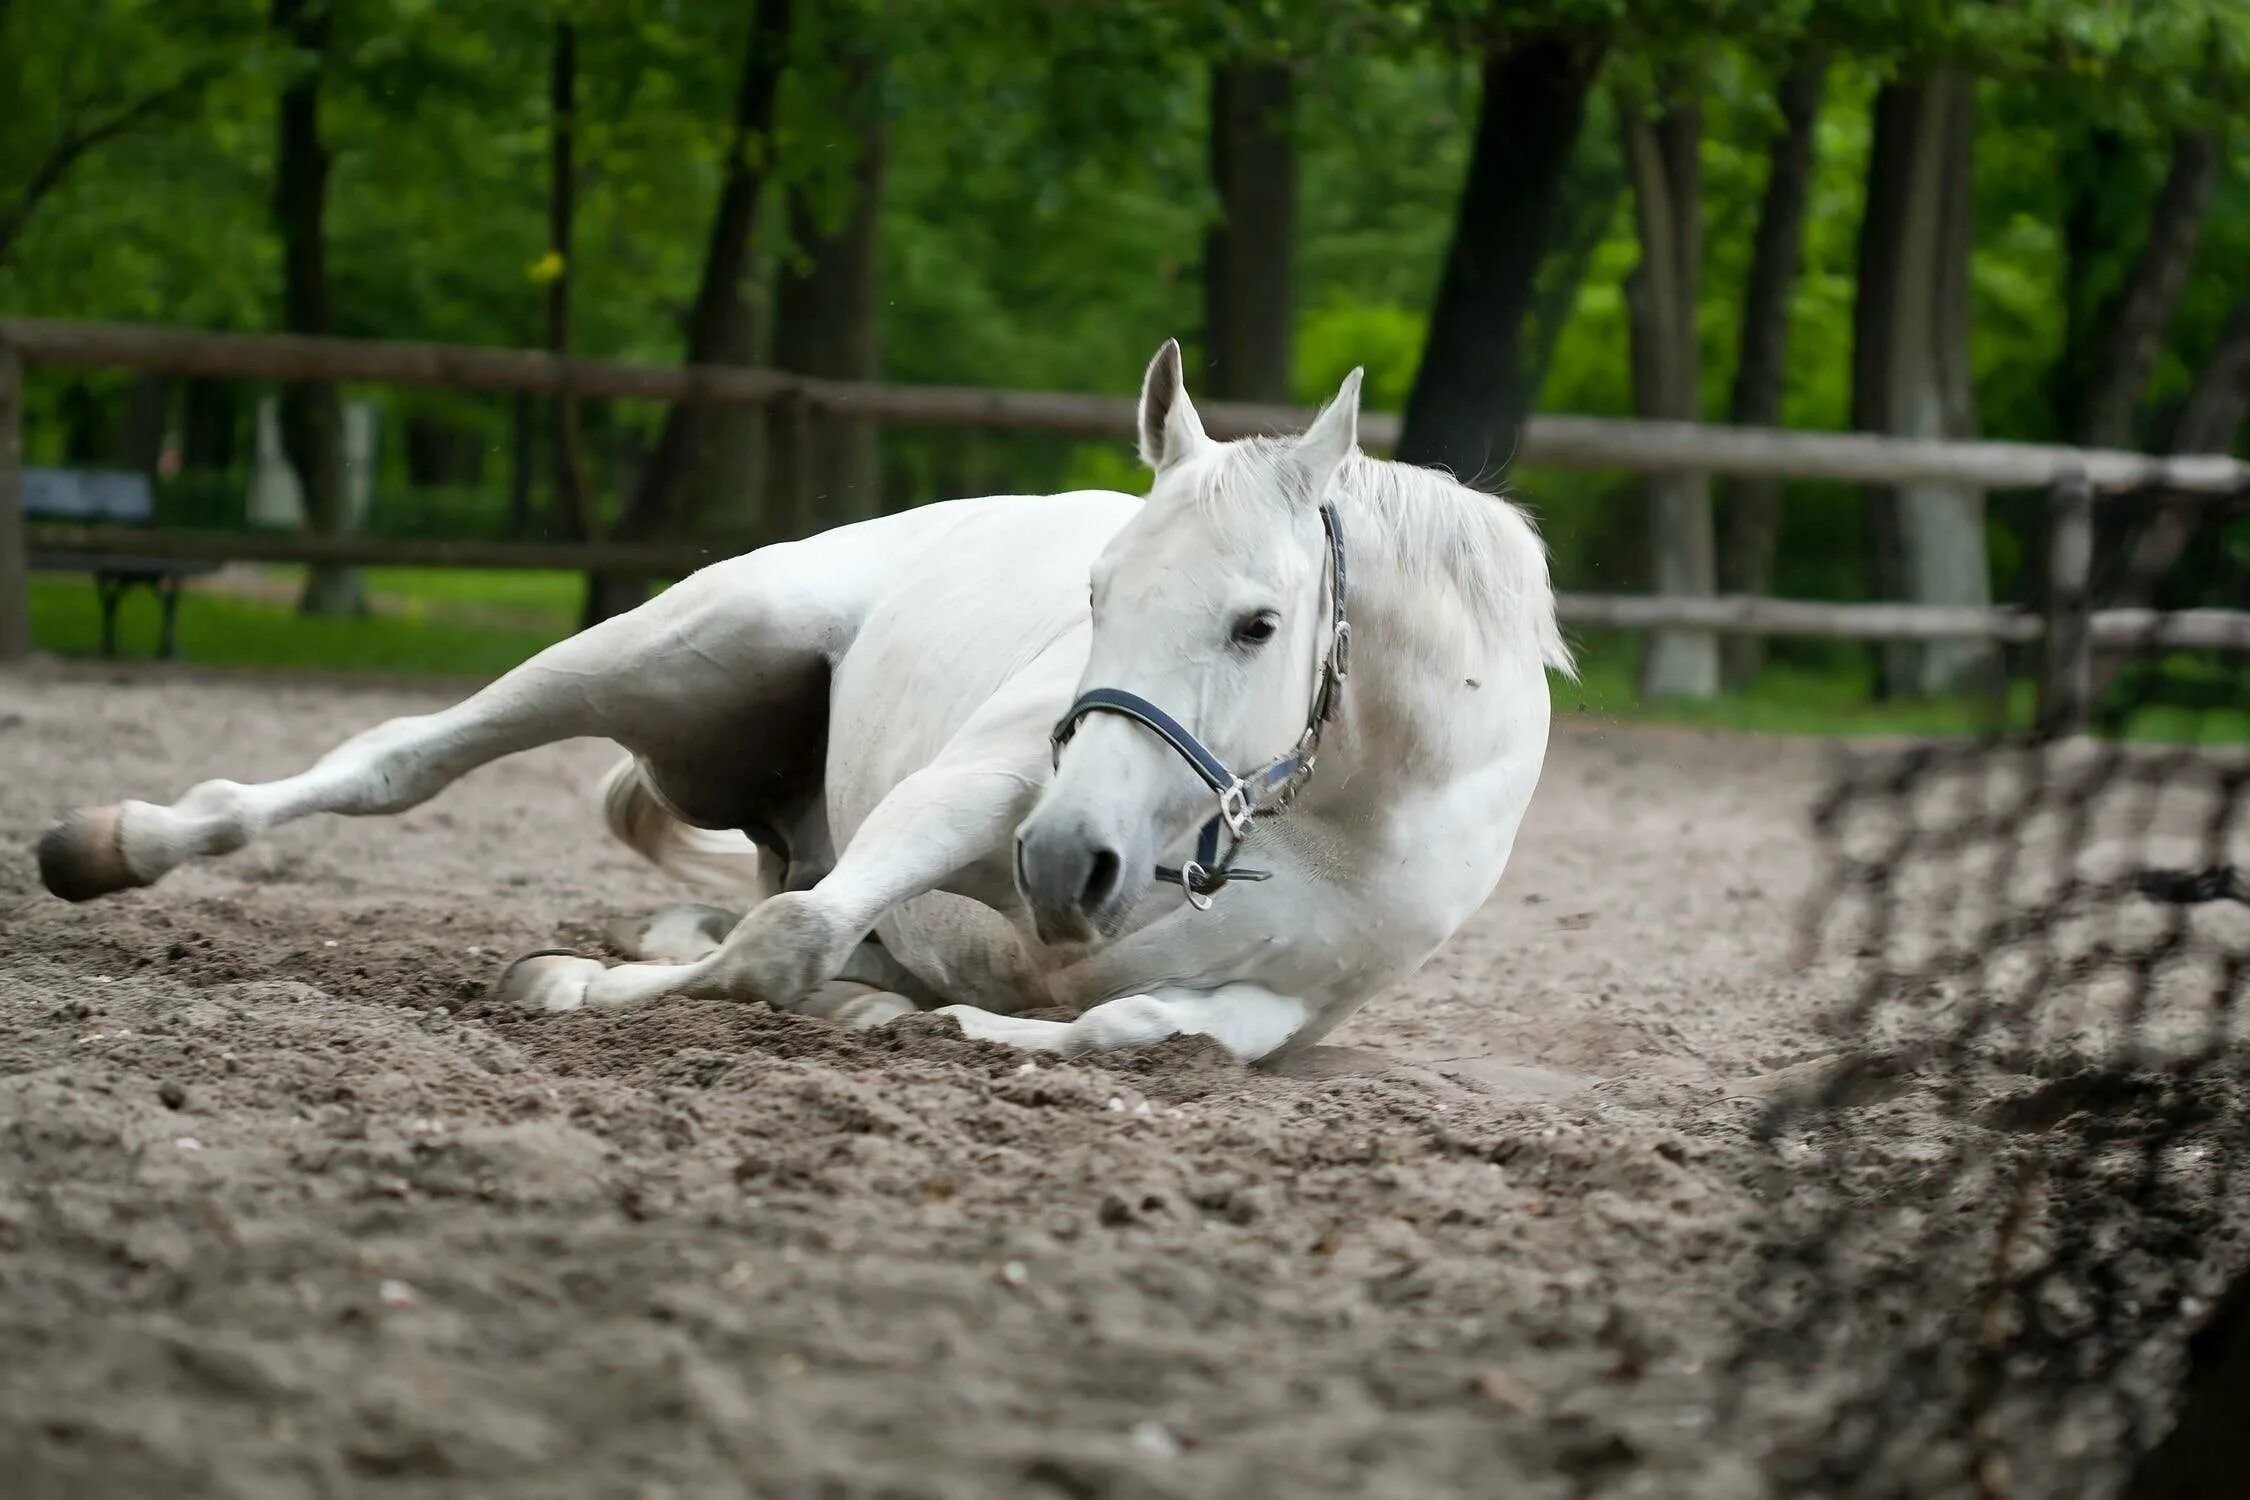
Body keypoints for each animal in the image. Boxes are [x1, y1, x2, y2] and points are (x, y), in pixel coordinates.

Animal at [39, 339, 1584, 1065]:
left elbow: (1142, 1029)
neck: (1335, 811)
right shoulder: (981, 793)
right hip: (673, 646)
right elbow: (783, 943)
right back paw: (112, 845)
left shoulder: (1291, 1002)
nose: (1065, 864)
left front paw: (942, 1026)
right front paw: (573, 984)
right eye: (1093, 595)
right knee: (402, 761)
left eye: (1258, 624)